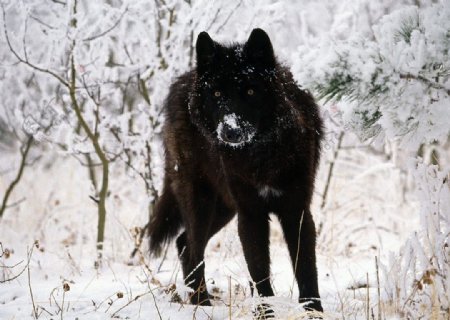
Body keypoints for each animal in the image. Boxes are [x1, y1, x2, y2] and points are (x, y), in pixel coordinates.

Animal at [149, 28, 324, 312]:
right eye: (217, 95)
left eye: (251, 91)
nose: (230, 131)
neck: (261, 156)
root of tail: (183, 81)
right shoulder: (250, 214)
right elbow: (259, 271)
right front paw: (265, 312)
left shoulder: (296, 210)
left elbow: (306, 268)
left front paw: (313, 311)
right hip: (202, 203)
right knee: (192, 247)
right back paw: (202, 303)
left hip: (224, 208)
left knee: (183, 242)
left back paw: (200, 302)